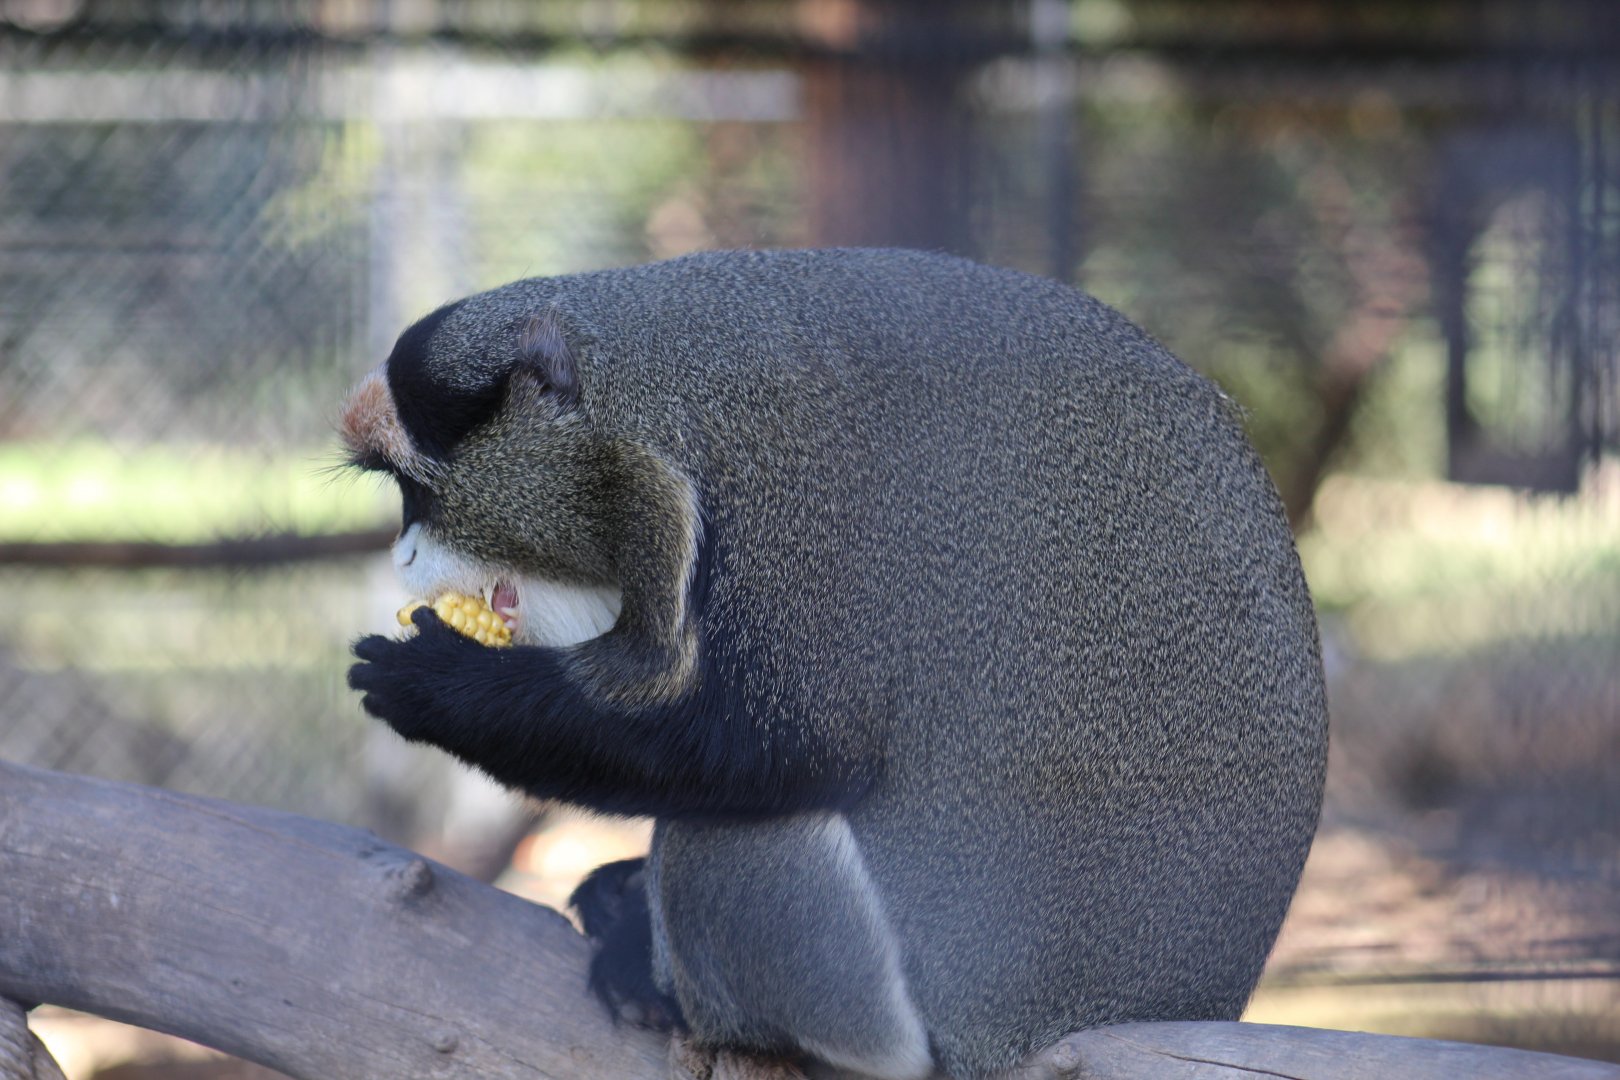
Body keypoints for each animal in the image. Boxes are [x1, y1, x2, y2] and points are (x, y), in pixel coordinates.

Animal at [343, 248, 1328, 1079]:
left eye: (419, 490)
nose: (402, 559)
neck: (662, 386)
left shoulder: (799, 510)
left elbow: (780, 751)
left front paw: (438, 690)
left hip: (867, 1001)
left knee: (727, 837)